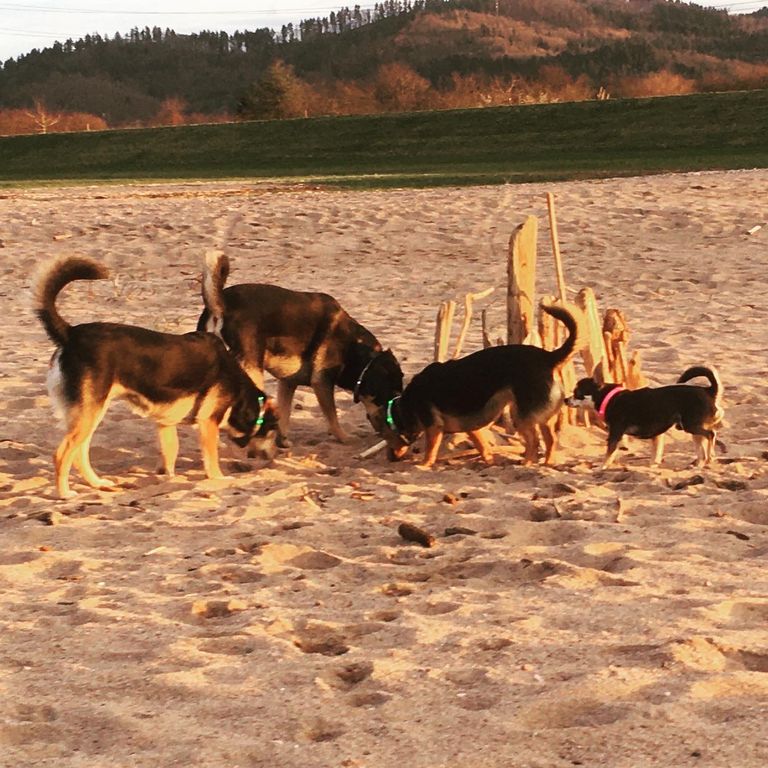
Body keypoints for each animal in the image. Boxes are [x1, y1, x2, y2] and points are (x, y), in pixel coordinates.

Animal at [34, 255, 280, 500]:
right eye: (272, 430)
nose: (272, 458)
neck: (239, 386)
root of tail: (71, 333)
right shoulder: (208, 423)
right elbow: (211, 460)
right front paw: (219, 479)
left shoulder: (166, 424)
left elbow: (170, 452)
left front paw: (167, 479)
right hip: (90, 413)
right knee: (63, 454)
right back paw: (65, 493)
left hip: (92, 414)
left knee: (80, 453)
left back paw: (97, 484)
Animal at [196, 249, 402, 448]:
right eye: (391, 395)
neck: (358, 350)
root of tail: (221, 303)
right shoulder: (322, 383)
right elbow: (332, 417)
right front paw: (344, 438)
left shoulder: (288, 383)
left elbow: (284, 414)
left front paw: (282, 440)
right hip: (251, 373)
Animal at [378, 304, 576, 468]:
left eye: (387, 436)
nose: (390, 459)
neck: (406, 404)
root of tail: (548, 357)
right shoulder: (472, 428)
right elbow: (483, 446)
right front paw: (489, 461)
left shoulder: (433, 427)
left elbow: (430, 450)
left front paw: (424, 464)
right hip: (542, 417)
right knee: (550, 440)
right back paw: (547, 463)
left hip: (520, 417)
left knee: (534, 441)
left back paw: (527, 462)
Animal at [564, 366, 720, 468]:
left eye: (577, 393)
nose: (565, 399)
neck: (610, 398)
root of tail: (708, 390)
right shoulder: (653, 434)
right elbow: (654, 452)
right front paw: (653, 465)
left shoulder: (615, 433)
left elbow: (609, 453)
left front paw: (602, 467)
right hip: (691, 428)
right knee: (702, 444)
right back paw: (700, 463)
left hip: (690, 425)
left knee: (711, 434)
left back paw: (710, 456)